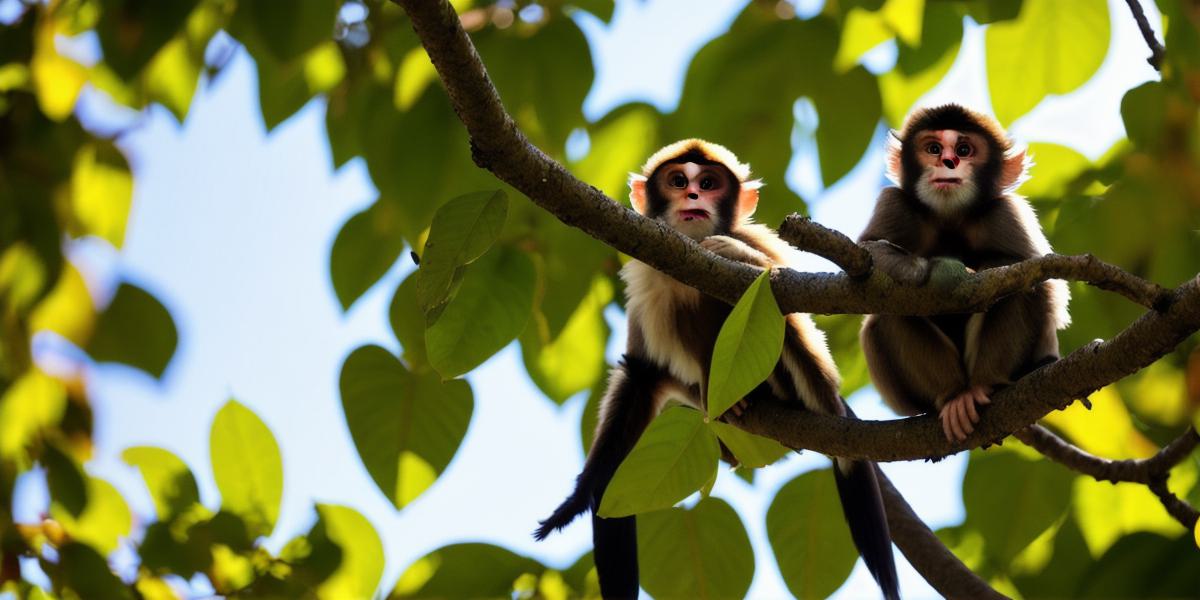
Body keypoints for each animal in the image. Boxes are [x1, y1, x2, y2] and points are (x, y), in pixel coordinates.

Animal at [537, 139, 902, 600]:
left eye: (709, 183)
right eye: (678, 181)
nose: (694, 195)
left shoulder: (754, 240)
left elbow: (779, 289)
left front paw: (732, 253)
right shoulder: (647, 272)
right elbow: (641, 371)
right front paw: (575, 502)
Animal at [859, 105, 1075, 446]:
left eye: (964, 150)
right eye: (933, 149)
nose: (948, 162)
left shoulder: (1005, 212)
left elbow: (1041, 278)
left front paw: (980, 272)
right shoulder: (894, 203)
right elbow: (867, 253)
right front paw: (940, 274)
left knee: (1024, 291)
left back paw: (984, 384)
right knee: (891, 307)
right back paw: (953, 397)